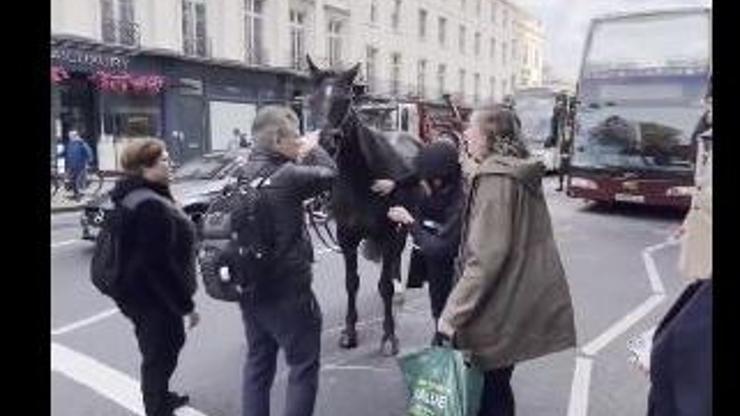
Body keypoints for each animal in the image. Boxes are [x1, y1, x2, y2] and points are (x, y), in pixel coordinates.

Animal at [304, 55, 422, 356]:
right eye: (311, 99)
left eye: (346, 99)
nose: (323, 143)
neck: (363, 178)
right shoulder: (347, 238)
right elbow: (351, 283)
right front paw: (349, 331)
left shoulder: (390, 233)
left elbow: (384, 287)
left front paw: (389, 336)